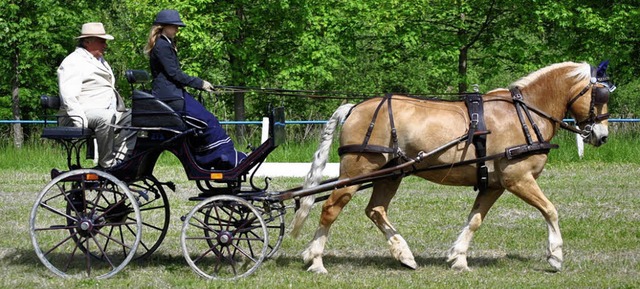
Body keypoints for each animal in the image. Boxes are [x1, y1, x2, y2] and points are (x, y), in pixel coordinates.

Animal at [290, 60, 616, 272]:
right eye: (600, 95)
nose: (601, 136)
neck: (525, 115)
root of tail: (355, 108)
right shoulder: (518, 178)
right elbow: (550, 210)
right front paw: (555, 257)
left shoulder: (494, 185)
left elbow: (475, 220)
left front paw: (458, 257)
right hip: (357, 172)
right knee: (330, 207)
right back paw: (315, 260)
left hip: (391, 174)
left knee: (376, 210)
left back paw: (404, 255)